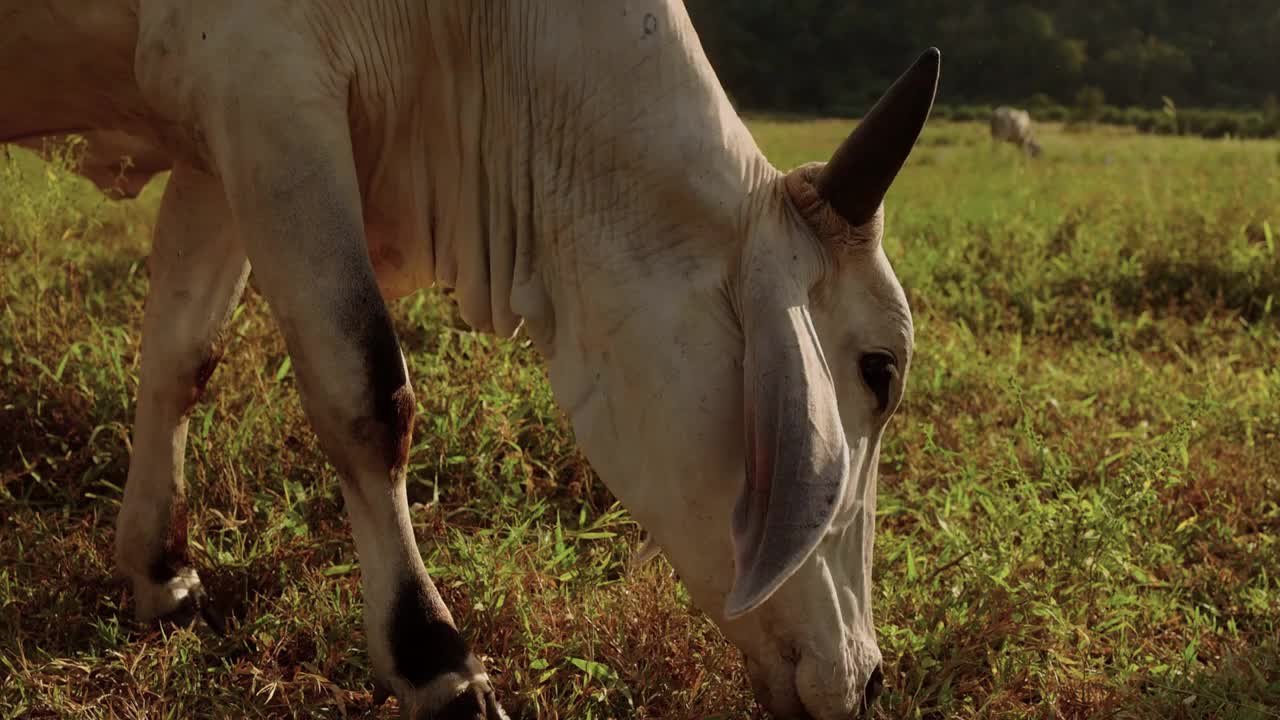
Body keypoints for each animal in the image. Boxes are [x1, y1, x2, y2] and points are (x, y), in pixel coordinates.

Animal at [0, 2, 942, 712]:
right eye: (880, 369)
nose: (869, 679)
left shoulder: (213, 140)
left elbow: (182, 361)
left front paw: (161, 572)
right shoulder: (264, 86)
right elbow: (367, 392)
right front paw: (435, 660)